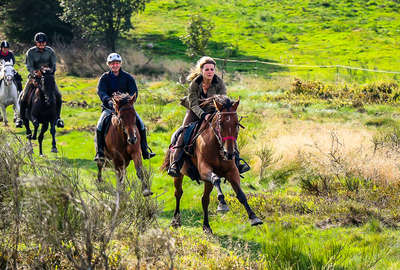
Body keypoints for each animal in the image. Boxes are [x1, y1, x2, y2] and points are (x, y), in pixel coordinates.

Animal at [162, 94, 262, 232]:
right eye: (220, 123)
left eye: (236, 123)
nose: (229, 154)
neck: (217, 147)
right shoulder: (204, 170)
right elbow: (216, 179)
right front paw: (222, 204)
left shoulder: (232, 171)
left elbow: (240, 194)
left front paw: (254, 217)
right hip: (179, 175)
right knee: (178, 193)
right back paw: (175, 221)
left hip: (206, 182)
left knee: (205, 199)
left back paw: (207, 226)